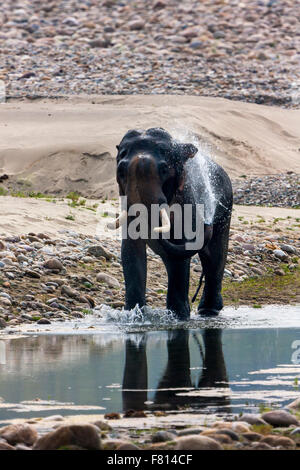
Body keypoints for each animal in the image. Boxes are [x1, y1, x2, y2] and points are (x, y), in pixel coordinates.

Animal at [109, 129, 233, 320]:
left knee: (214, 256)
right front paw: (134, 316)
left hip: (224, 210)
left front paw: (178, 317)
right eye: (121, 170)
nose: (206, 223)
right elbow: (130, 251)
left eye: (164, 169)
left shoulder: (187, 203)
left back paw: (208, 312)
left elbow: (179, 251)